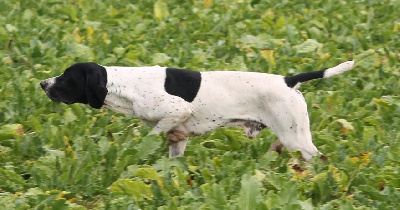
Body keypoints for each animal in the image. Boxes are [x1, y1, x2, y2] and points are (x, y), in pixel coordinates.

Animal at [39, 60, 354, 161]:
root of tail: (288, 81)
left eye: (67, 77)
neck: (128, 85)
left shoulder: (177, 112)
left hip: (296, 138)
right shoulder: (178, 134)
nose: (43, 83)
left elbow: (153, 135)